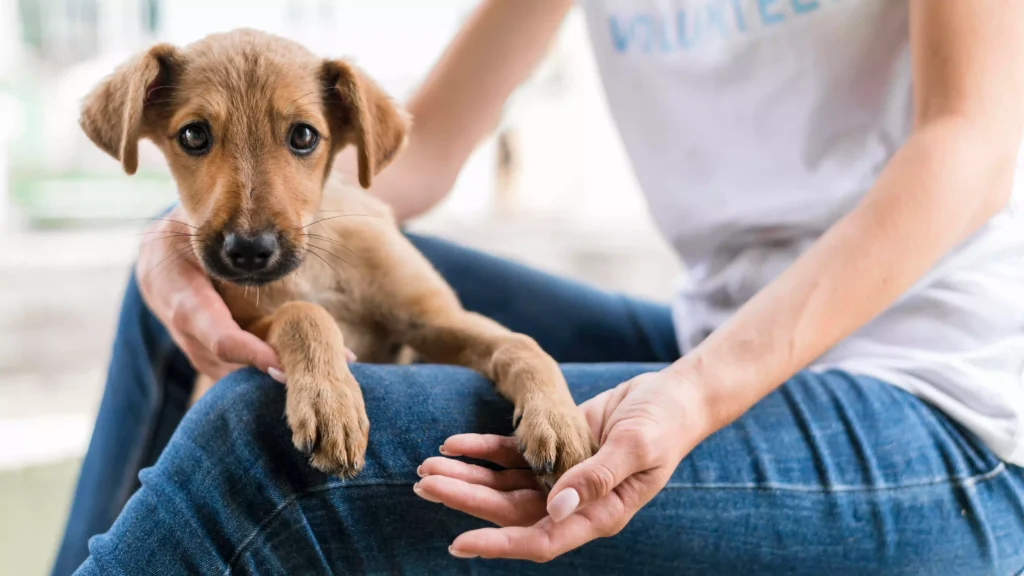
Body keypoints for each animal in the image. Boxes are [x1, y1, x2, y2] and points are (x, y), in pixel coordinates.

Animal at [79, 29, 598, 481]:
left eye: (304, 136)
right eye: (193, 136)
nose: (249, 251)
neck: (316, 267)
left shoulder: (433, 320)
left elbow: (521, 345)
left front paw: (559, 419)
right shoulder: (244, 329)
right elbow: (303, 313)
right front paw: (331, 403)